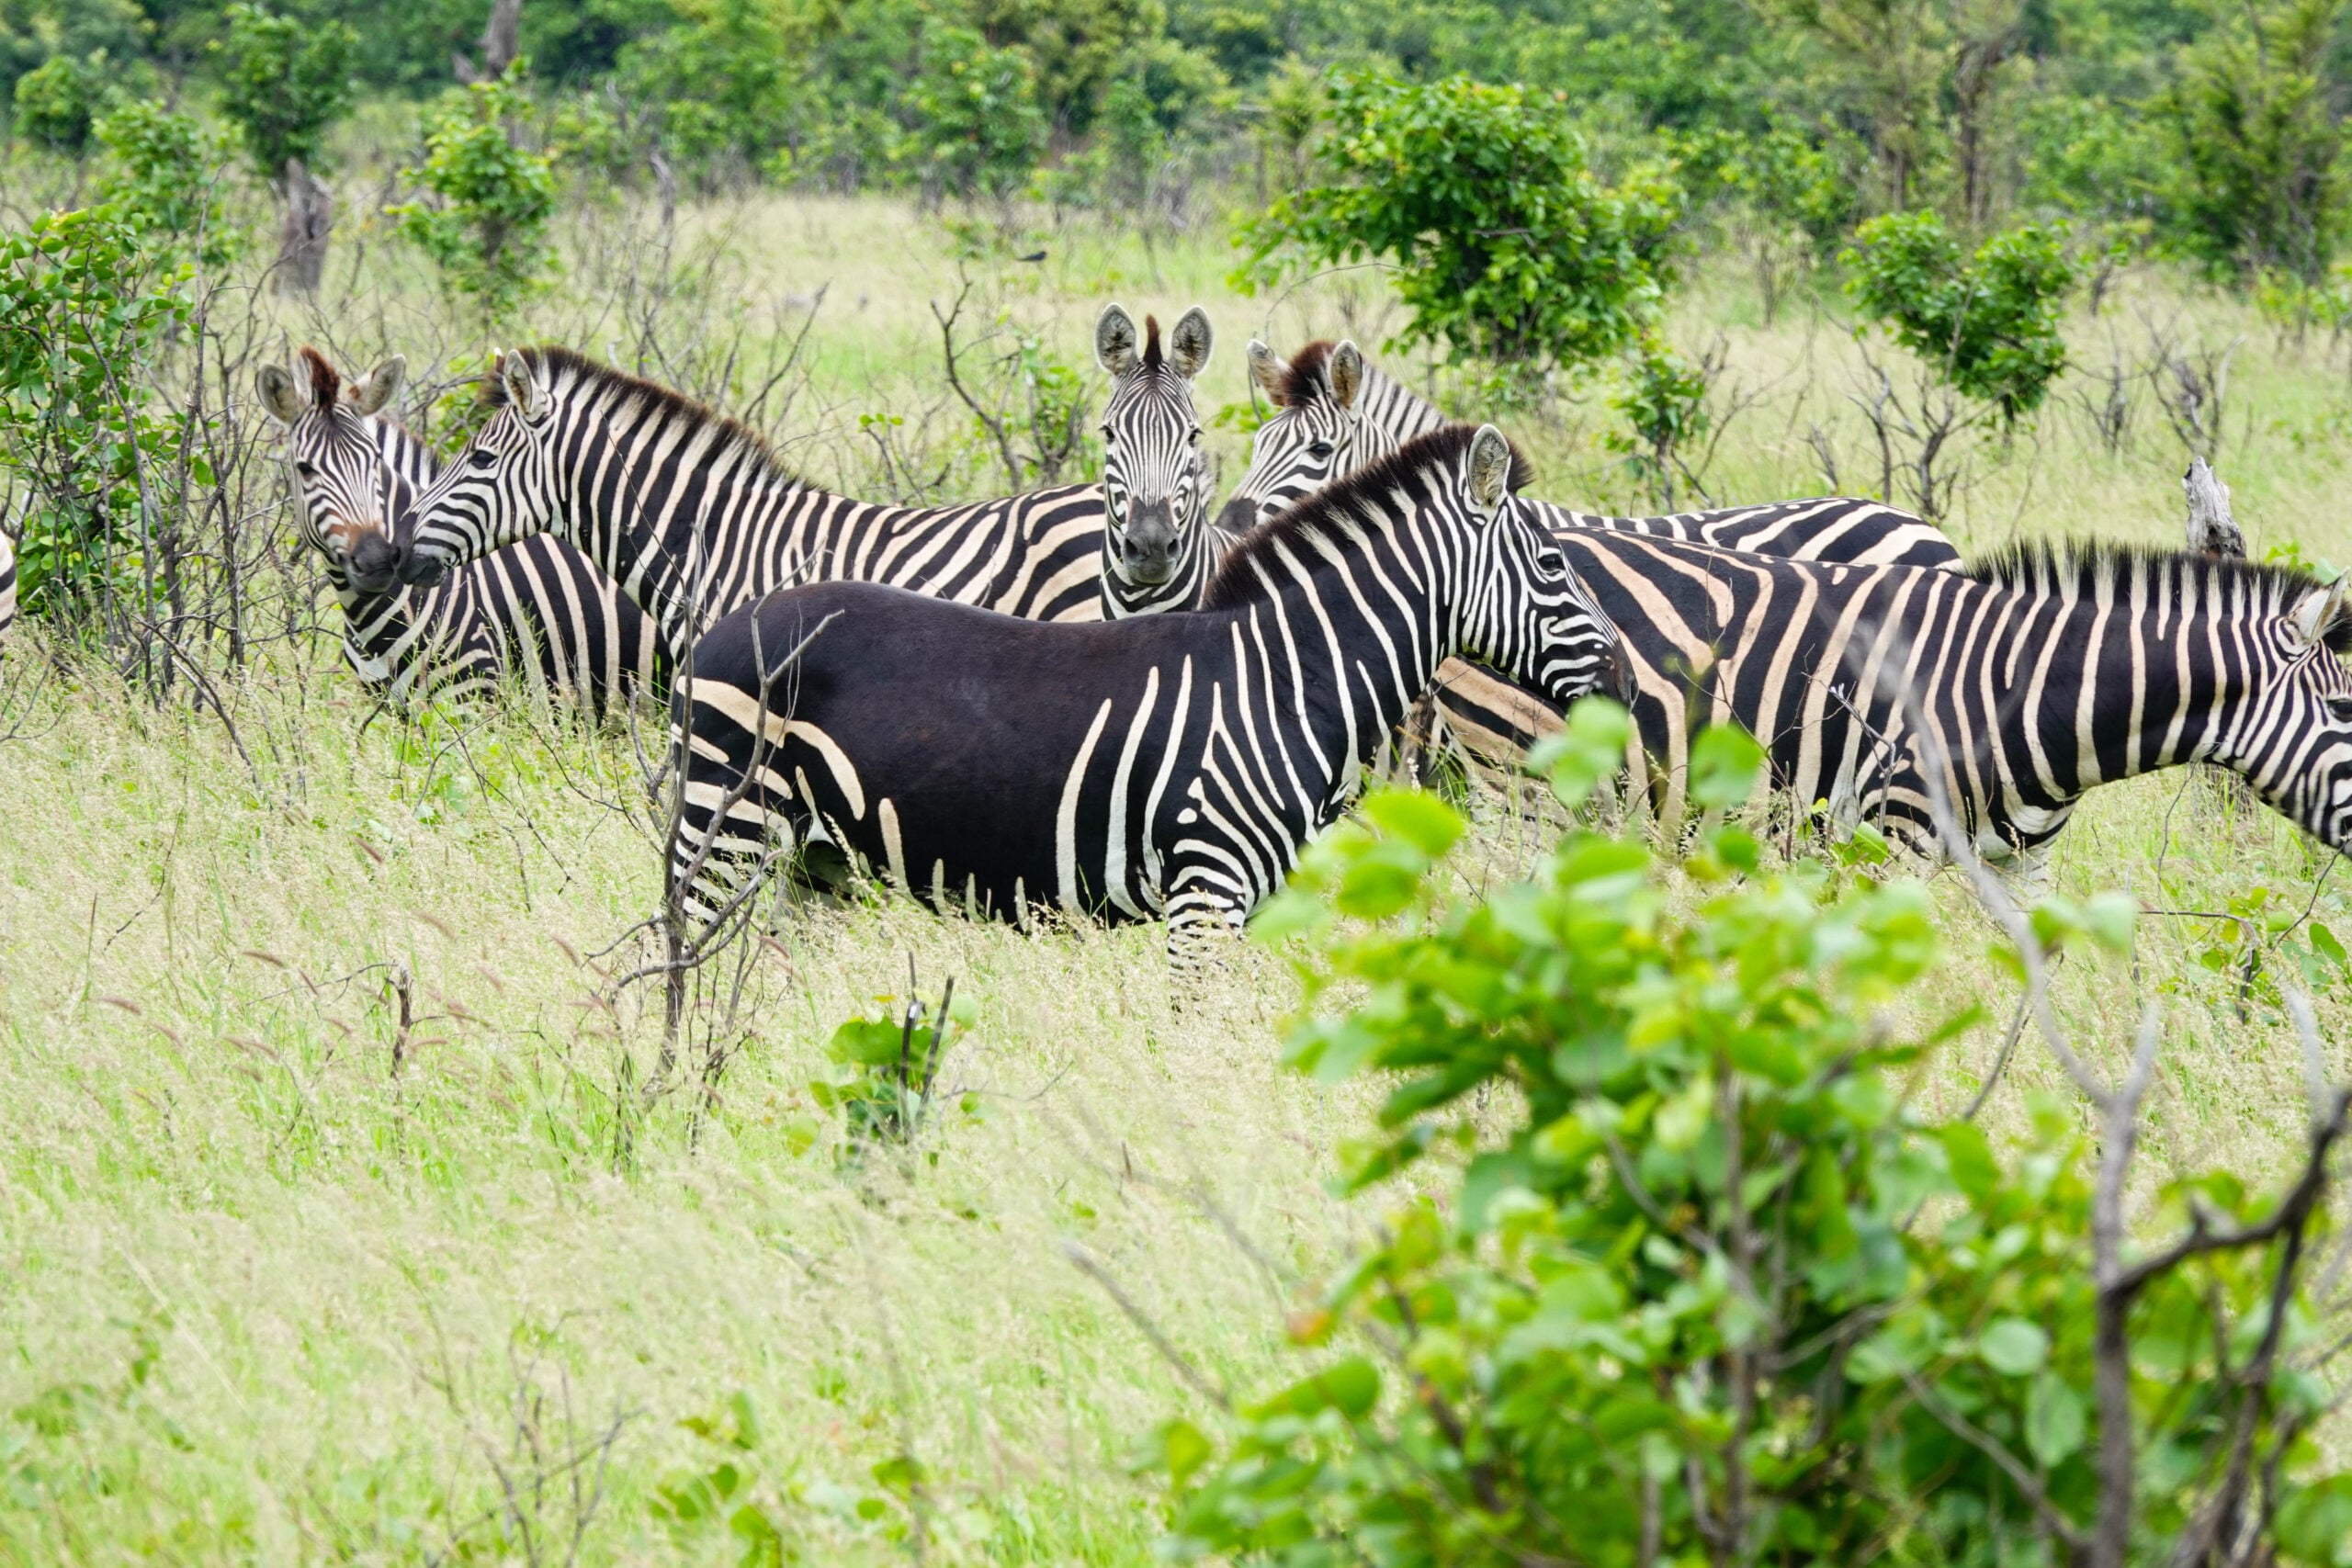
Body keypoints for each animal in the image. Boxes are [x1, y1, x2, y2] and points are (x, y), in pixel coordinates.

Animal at [668, 424, 1632, 964]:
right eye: (1554, 566)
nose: (1623, 674)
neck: (1288, 676)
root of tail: (726, 623)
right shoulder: (1206, 890)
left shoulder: (1260, 899)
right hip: (729, 821)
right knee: (680, 959)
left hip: (809, 862)